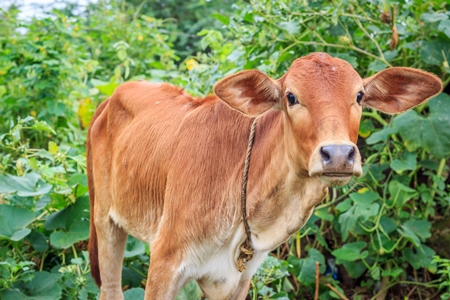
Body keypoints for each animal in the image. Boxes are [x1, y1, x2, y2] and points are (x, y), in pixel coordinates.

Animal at [86, 52, 442, 298]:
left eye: (359, 96)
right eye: (291, 97)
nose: (338, 154)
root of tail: (109, 98)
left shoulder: (238, 279)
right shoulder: (165, 261)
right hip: (105, 222)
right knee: (110, 289)